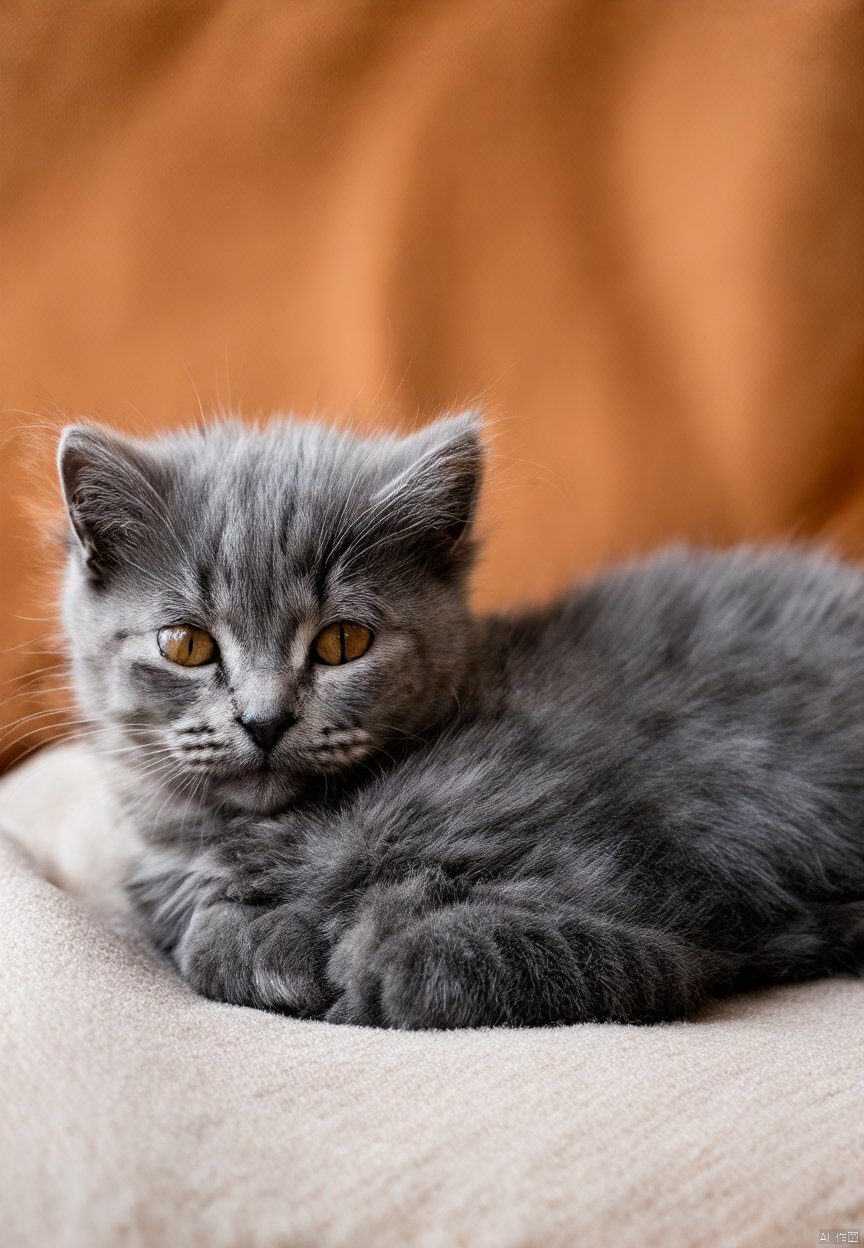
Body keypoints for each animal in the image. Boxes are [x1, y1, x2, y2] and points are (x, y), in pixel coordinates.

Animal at [57, 414, 859, 1028]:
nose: (264, 719)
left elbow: (456, 958)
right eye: (186, 645)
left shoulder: (640, 912)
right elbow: (202, 939)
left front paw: (357, 958)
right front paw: (281, 945)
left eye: (342, 643)